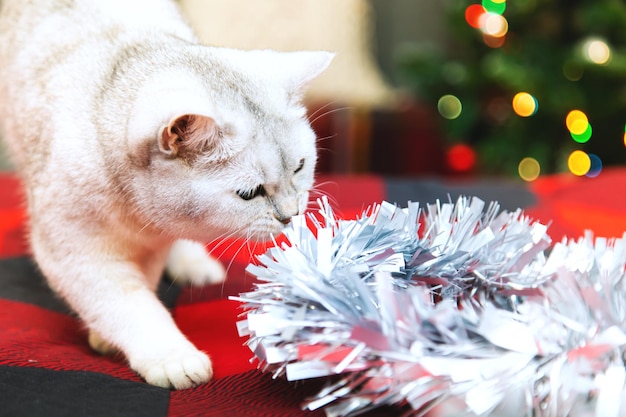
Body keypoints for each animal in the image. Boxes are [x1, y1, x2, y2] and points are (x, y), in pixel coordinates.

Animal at [0, 0, 332, 388]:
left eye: (299, 167)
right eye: (250, 193)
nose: (290, 214)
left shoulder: (152, 243)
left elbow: (143, 281)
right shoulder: (74, 251)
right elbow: (127, 304)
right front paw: (168, 355)